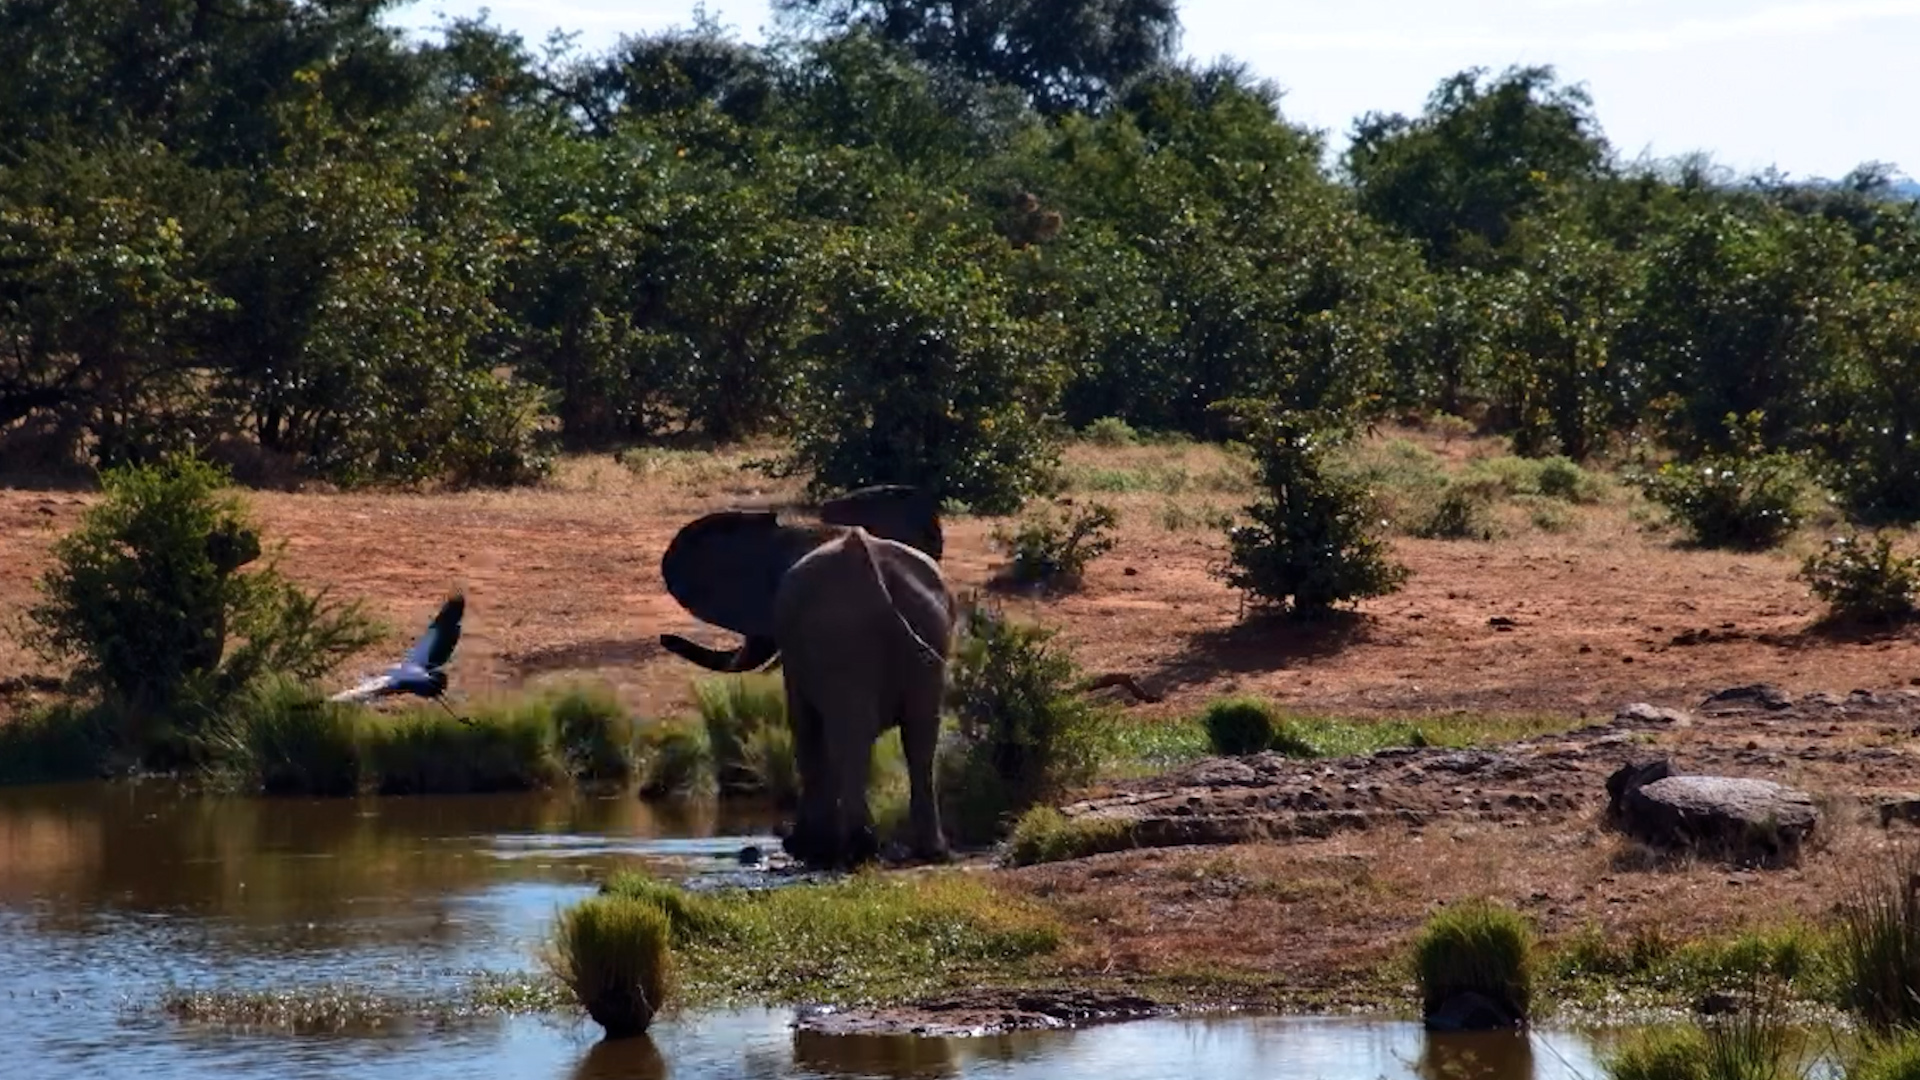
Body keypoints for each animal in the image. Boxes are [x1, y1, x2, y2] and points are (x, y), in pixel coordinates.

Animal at [657, 506, 956, 868]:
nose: (664, 638)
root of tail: (871, 573)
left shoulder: (794, 638)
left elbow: (804, 727)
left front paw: (806, 849)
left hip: (841, 635)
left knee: (850, 734)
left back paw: (858, 849)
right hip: (928, 629)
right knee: (920, 736)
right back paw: (931, 852)